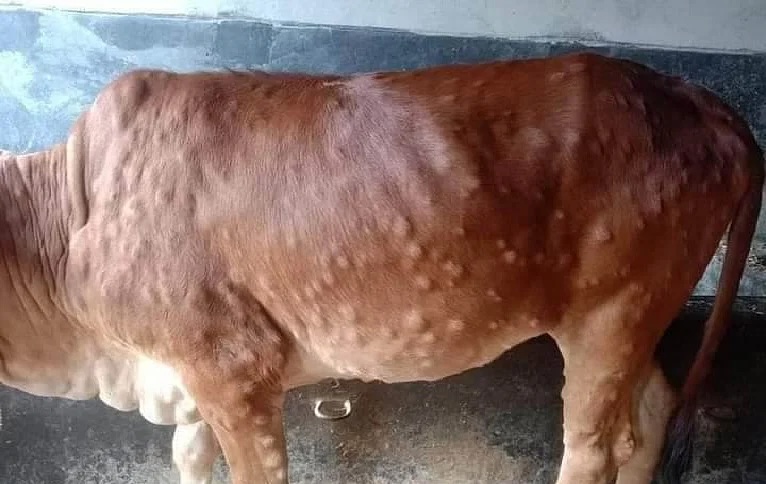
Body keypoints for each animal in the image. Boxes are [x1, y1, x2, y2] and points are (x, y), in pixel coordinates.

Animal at [0, 51, 762, 484]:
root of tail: (697, 100)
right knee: (650, 415)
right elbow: (190, 459)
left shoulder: (232, 367)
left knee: (594, 449)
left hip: (609, 312)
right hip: (637, 310)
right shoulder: (191, 386)